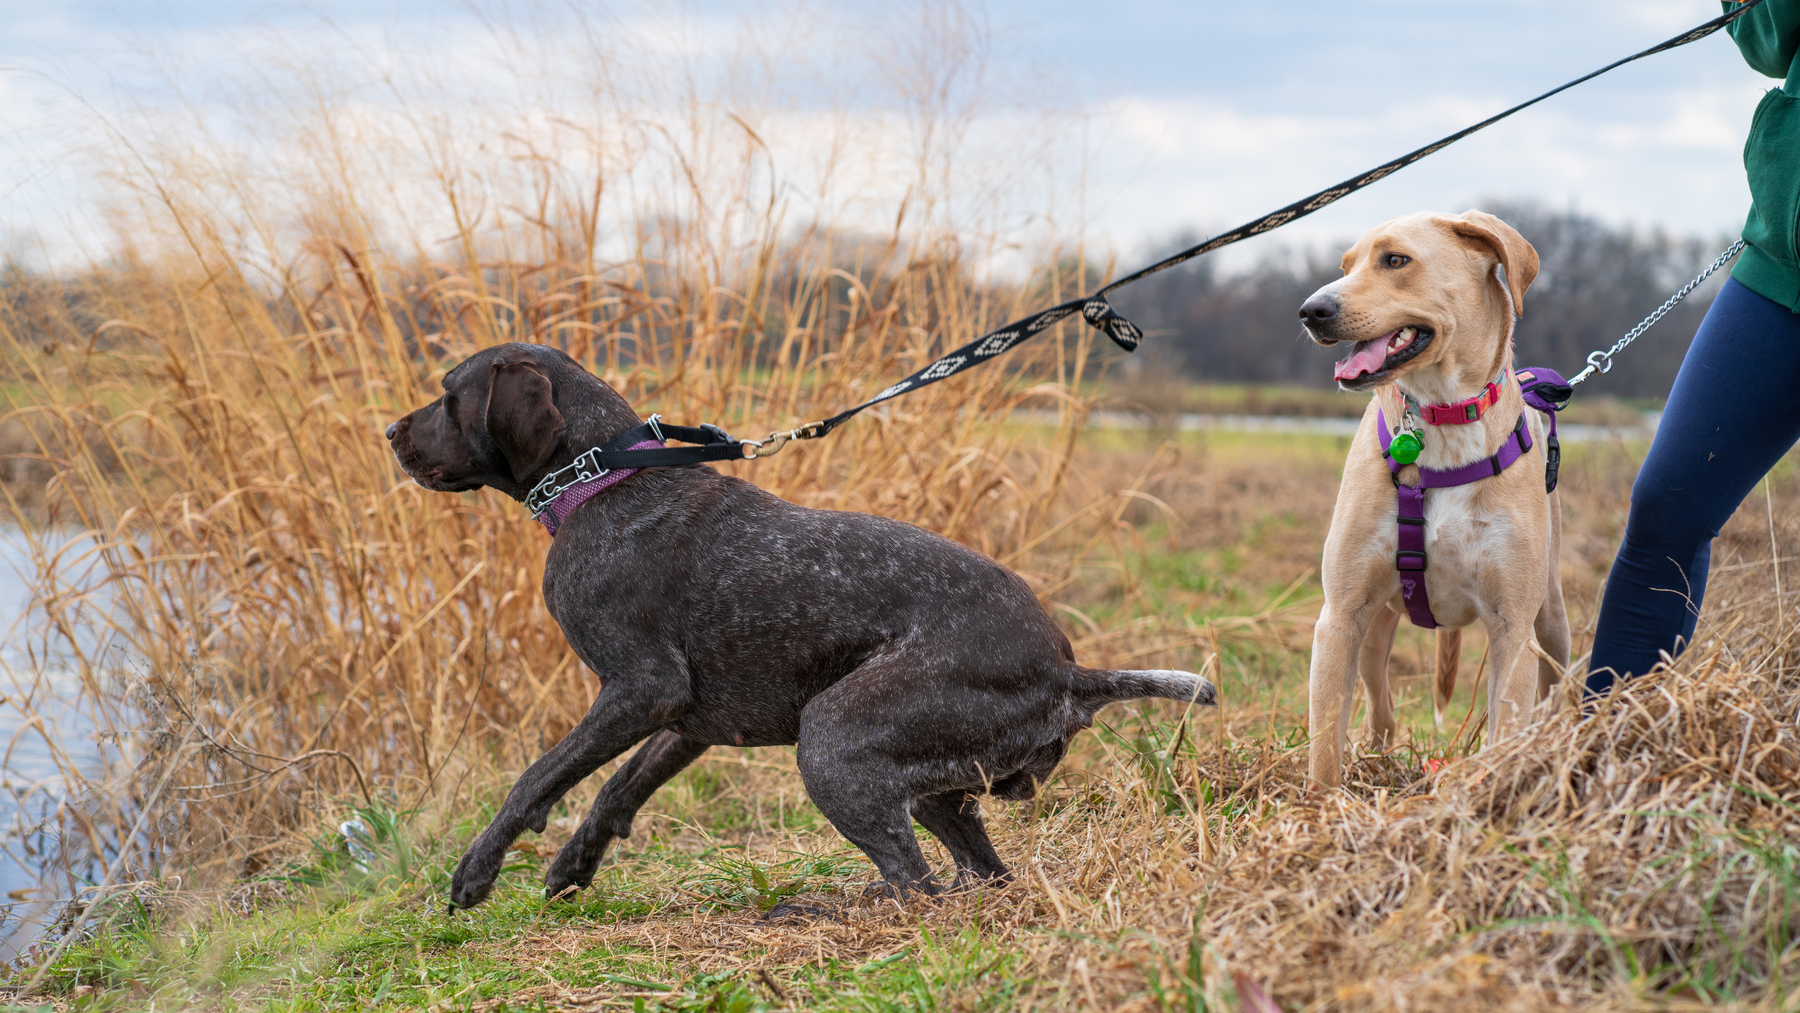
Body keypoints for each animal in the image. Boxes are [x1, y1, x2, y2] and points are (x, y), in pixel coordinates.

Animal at [1303, 210, 1569, 788]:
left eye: (1395, 260)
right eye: (1346, 265)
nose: (1311, 311)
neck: (1443, 419)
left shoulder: (1512, 629)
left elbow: (1505, 729)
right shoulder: (1339, 617)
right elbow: (1325, 746)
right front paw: (1318, 807)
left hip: (1552, 618)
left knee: (1556, 685)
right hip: (1375, 630)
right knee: (1380, 706)